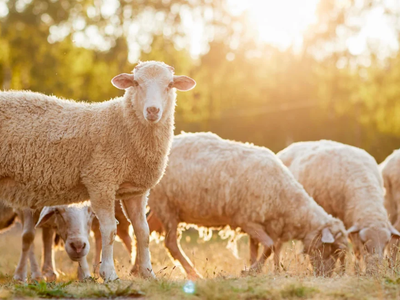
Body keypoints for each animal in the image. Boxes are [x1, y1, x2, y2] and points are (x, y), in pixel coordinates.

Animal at [0, 60, 195, 282]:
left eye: (170, 84)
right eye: (136, 83)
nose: (153, 110)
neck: (123, 125)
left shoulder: (135, 191)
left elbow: (142, 231)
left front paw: (148, 273)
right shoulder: (101, 181)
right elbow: (109, 230)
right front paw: (109, 273)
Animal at [146, 132, 346, 278]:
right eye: (332, 250)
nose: (326, 276)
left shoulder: (256, 222)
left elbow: (255, 251)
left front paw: (253, 270)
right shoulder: (246, 219)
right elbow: (270, 247)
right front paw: (250, 270)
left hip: (160, 208)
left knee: (145, 231)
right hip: (166, 205)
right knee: (171, 243)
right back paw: (193, 274)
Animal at [276, 140, 400, 272]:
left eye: (385, 243)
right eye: (364, 243)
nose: (374, 271)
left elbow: (352, 249)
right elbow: (346, 249)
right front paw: (344, 271)